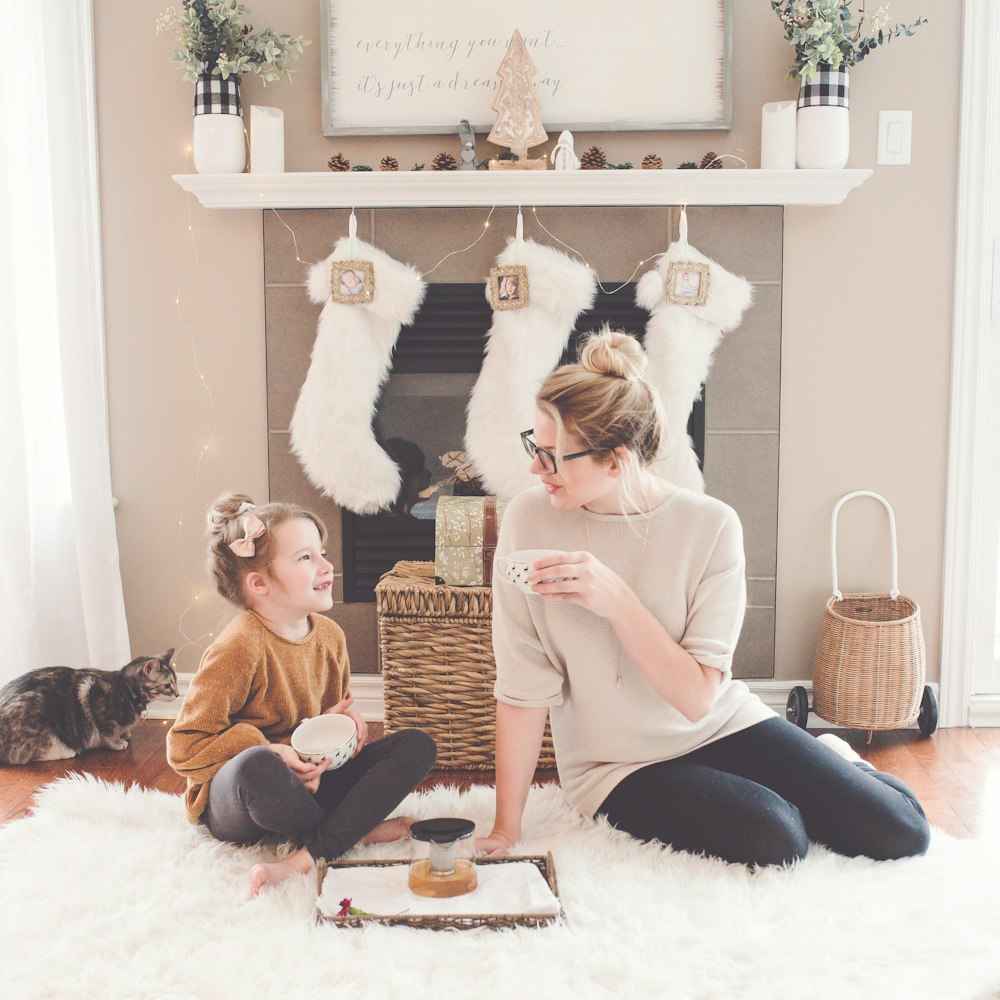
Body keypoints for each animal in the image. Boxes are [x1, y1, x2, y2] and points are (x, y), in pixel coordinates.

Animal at [0, 648, 177, 764]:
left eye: (175, 682)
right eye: (167, 685)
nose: (177, 694)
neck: (126, 689)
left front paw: (125, 734)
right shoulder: (97, 702)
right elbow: (109, 732)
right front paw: (118, 743)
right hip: (37, 712)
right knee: (28, 755)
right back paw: (68, 751)